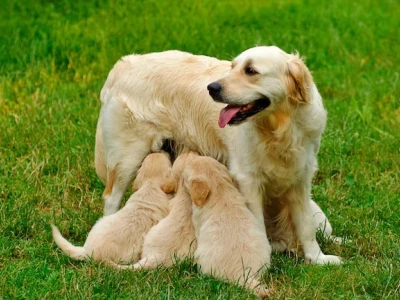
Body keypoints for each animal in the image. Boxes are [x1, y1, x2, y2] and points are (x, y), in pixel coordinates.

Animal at [96, 45, 340, 264]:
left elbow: (305, 225)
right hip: (127, 157)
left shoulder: (301, 176)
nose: (212, 87)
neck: (279, 128)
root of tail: (124, 64)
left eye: (250, 70)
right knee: (111, 198)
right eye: (233, 67)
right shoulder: (247, 179)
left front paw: (317, 258)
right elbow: (258, 223)